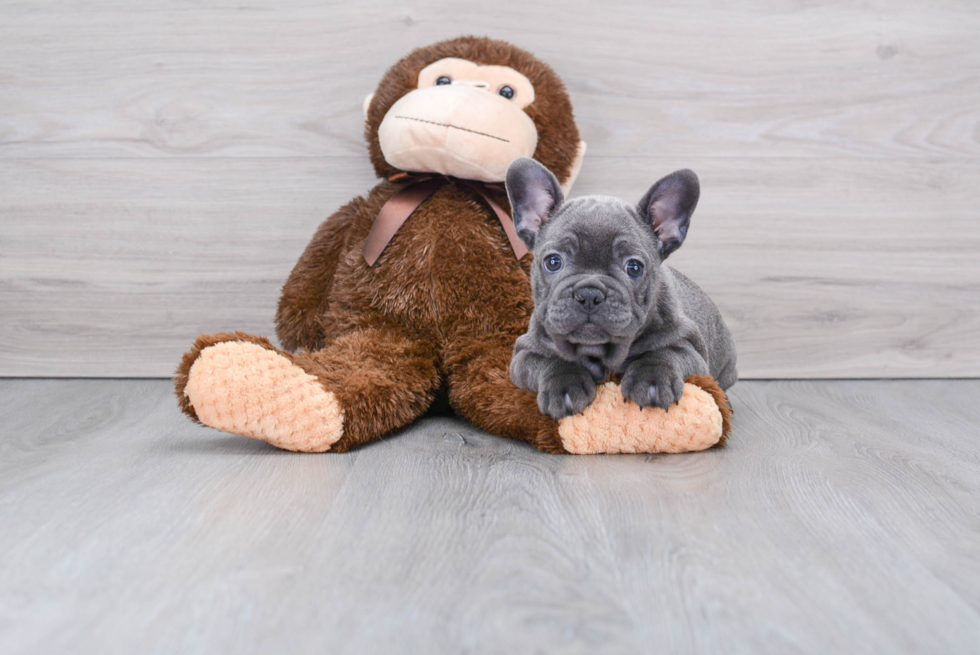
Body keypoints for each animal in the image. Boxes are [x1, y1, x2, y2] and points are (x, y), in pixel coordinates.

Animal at [506, 161, 736, 422]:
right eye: (553, 262)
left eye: (634, 267)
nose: (589, 293)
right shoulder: (525, 354)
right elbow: (552, 361)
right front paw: (564, 385)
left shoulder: (691, 348)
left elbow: (664, 353)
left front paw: (652, 379)